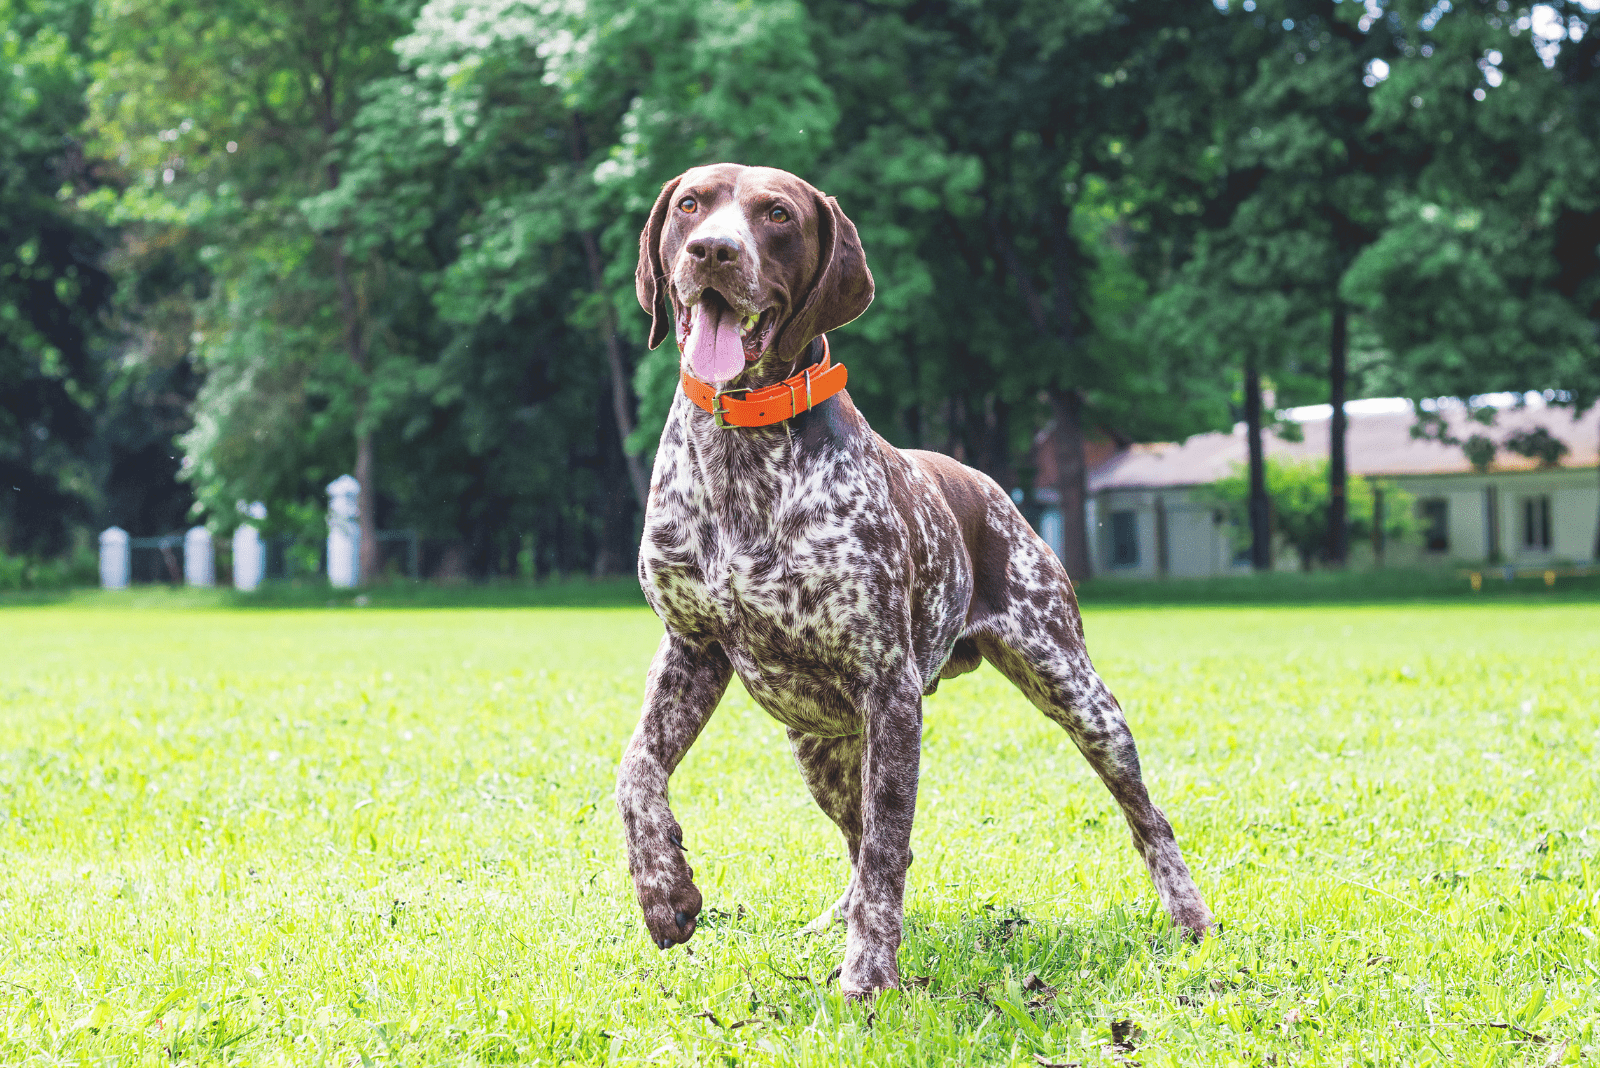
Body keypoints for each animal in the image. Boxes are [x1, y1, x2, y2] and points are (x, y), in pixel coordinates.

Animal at [617, 163, 1203, 997]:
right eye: (693, 204)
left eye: (776, 214)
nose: (713, 251)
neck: (743, 448)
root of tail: (987, 485)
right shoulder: (690, 648)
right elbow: (636, 772)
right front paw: (664, 890)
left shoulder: (889, 687)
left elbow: (889, 848)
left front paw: (868, 978)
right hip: (820, 746)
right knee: (859, 843)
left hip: (1078, 693)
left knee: (1145, 817)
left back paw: (1190, 915)